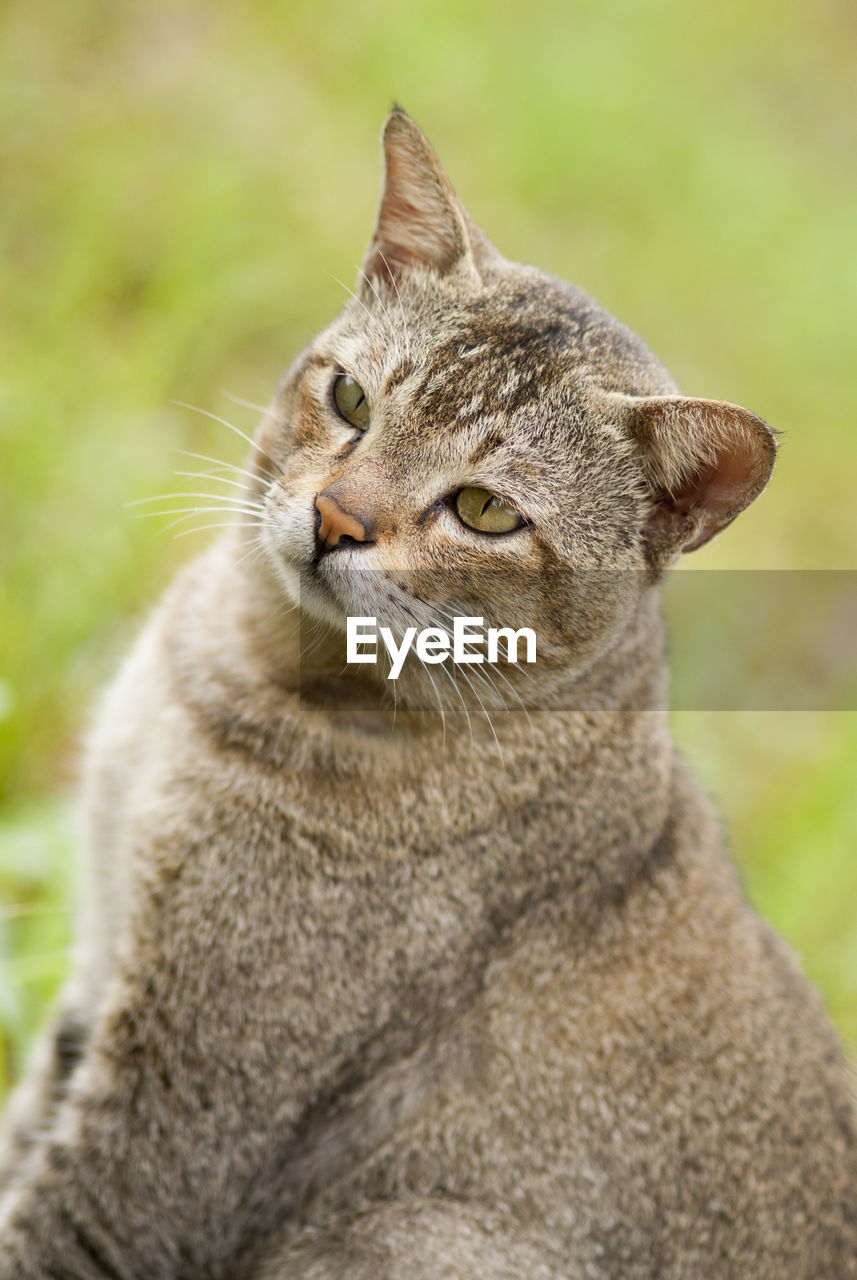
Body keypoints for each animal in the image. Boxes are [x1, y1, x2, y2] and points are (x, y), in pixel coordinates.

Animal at [1, 112, 857, 1280]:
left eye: (485, 510)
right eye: (351, 399)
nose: (335, 518)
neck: (237, 664)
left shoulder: (168, 1127)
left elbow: (43, 1221)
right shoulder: (93, 978)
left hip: (406, 1232)